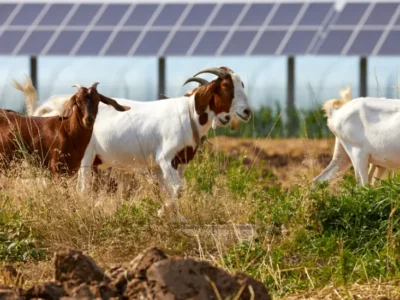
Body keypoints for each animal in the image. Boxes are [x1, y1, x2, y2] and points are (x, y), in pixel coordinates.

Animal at [0, 83, 130, 178]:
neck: (67, 131)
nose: (88, 119)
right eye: (77, 101)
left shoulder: (72, 170)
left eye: (97, 100)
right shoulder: (58, 169)